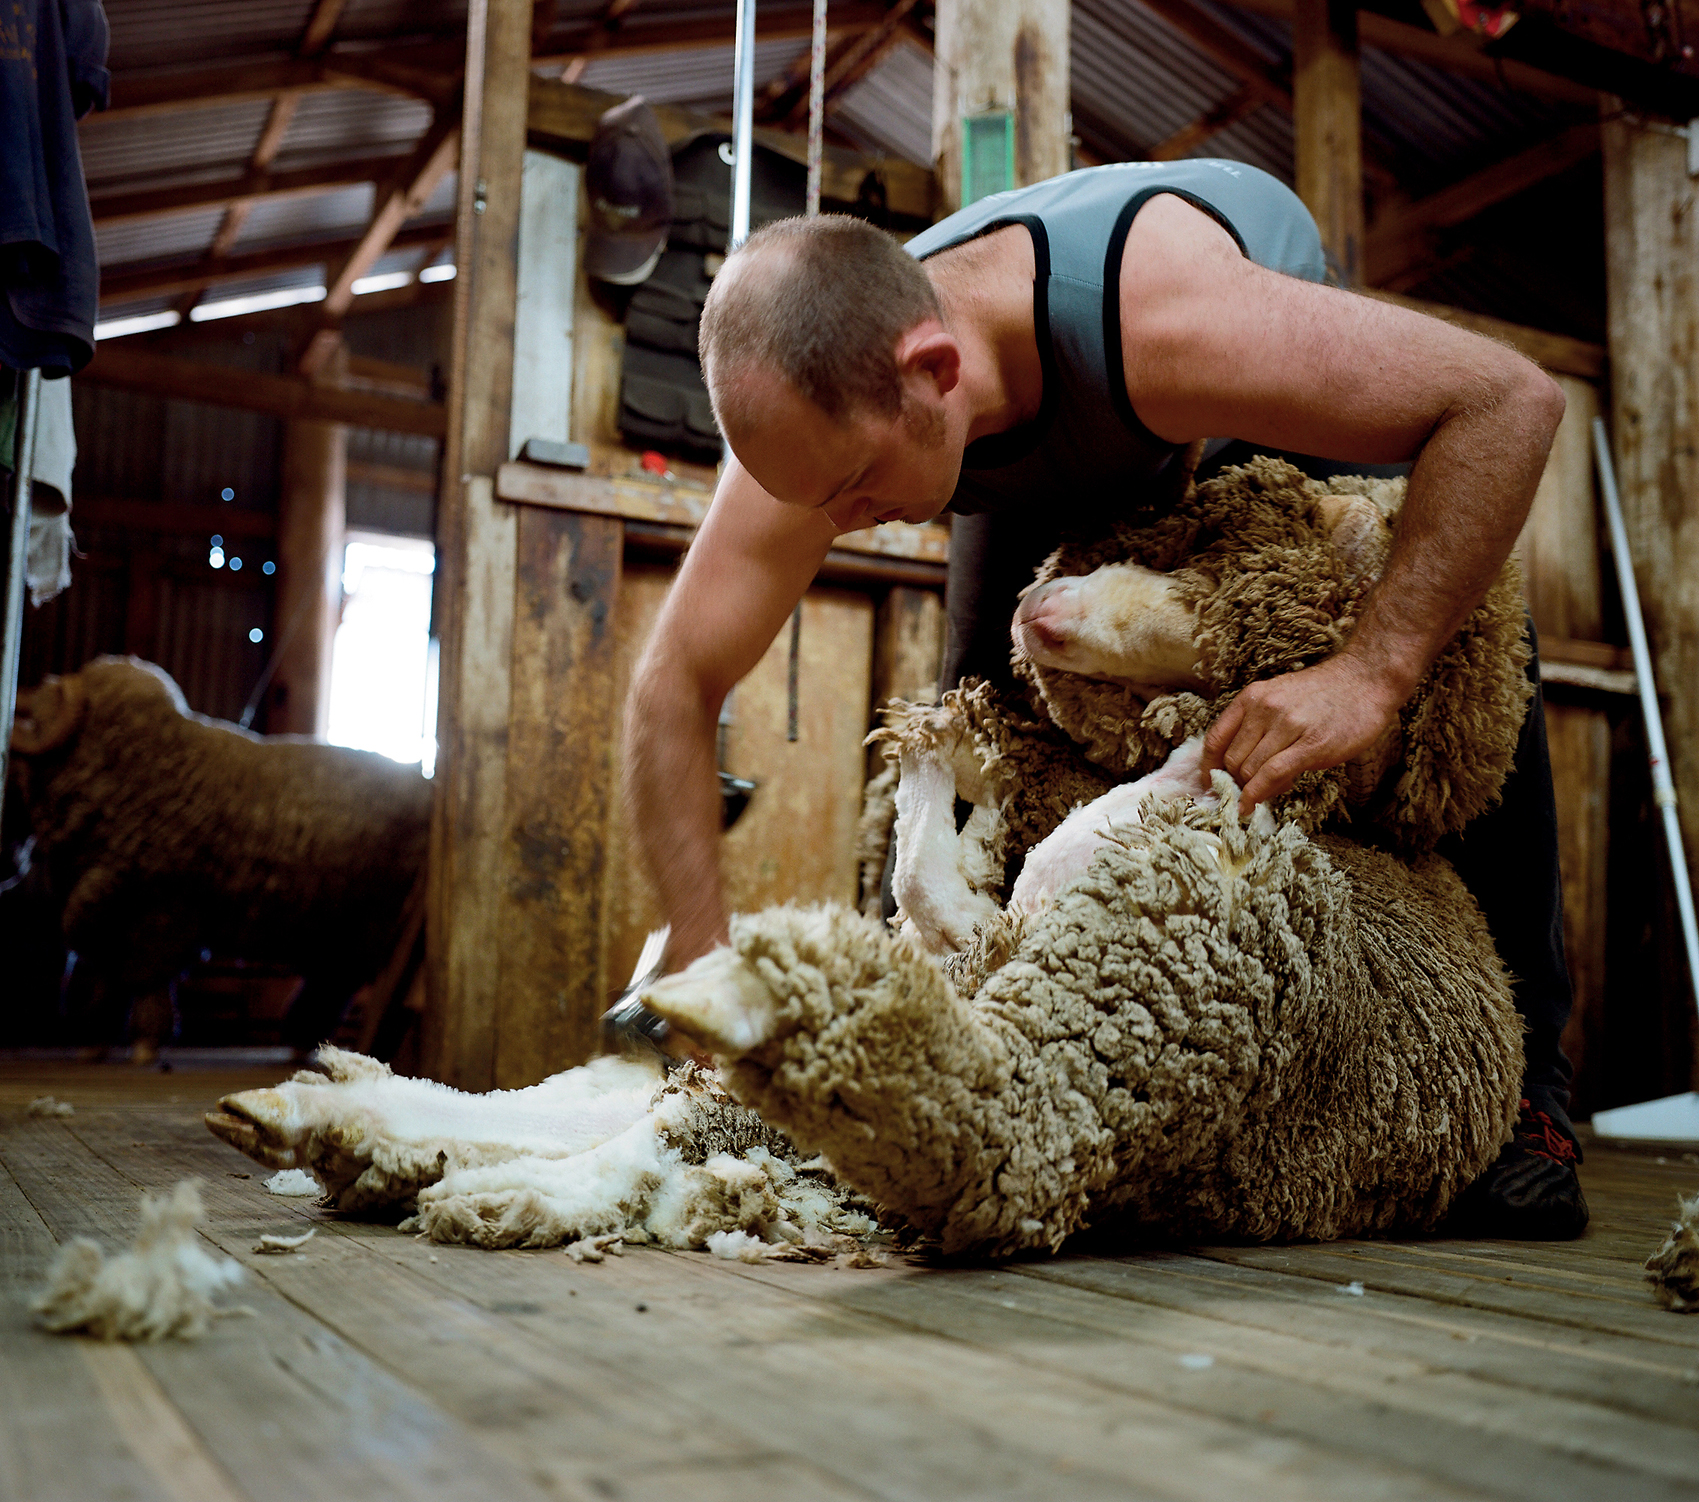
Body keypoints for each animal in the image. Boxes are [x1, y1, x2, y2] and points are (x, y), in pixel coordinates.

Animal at [9, 655, 431, 1053]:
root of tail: (424, 783)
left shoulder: (165, 909)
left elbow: (146, 977)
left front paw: (147, 1041)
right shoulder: (110, 906)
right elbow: (109, 978)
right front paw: (95, 1041)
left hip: (372, 927)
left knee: (339, 984)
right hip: (339, 932)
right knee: (329, 984)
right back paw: (301, 1038)